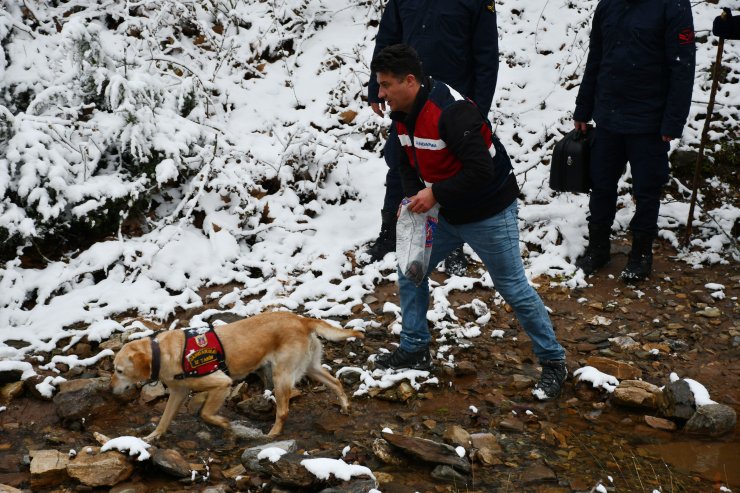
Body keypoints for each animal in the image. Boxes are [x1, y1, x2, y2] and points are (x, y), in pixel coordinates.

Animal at [110, 312, 364, 440]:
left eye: (118, 371)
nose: (110, 390)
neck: (162, 353)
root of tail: (301, 319)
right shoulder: (178, 393)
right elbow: (164, 419)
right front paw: (152, 437)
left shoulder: (222, 383)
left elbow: (206, 413)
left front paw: (223, 423)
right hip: (311, 366)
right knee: (336, 382)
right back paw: (344, 405)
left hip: (281, 375)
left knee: (283, 411)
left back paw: (272, 434)